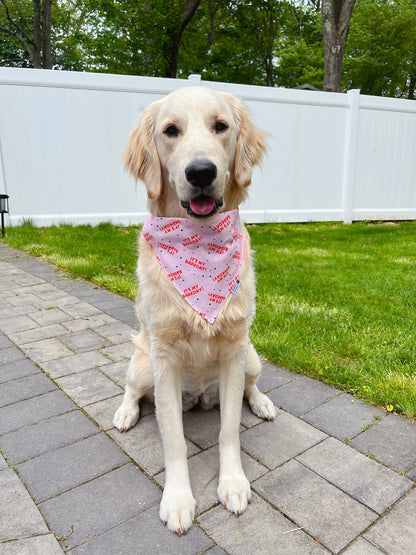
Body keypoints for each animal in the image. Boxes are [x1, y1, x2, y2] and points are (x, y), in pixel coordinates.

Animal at [114, 86, 276, 536]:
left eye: (220, 126)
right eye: (171, 131)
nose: (201, 172)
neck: (200, 242)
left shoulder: (235, 350)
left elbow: (229, 431)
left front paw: (234, 484)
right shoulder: (165, 358)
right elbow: (173, 438)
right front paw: (178, 500)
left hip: (251, 357)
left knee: (249, 389)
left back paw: (262, 403)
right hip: (143, 363)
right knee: (132, 390)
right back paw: (125, 412)